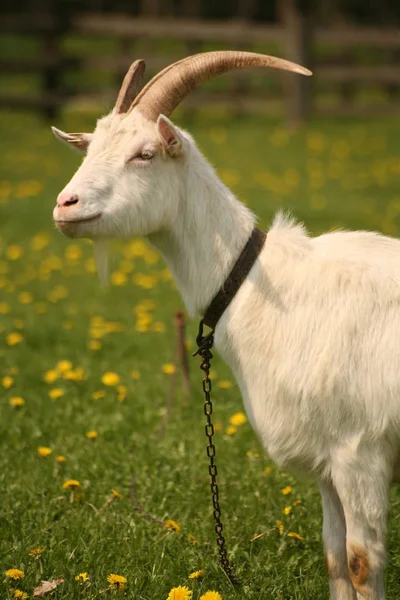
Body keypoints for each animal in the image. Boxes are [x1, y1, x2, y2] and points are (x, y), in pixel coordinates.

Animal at [53, 52, 400, 600]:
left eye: (144, 154)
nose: (65, 205)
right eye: (91, 148)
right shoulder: (329, 462)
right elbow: (334, 557)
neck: (268, 286)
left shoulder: (361, 450)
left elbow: (360, 562)